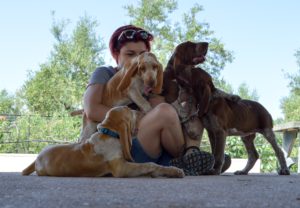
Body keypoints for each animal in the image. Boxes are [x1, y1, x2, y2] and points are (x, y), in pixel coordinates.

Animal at [21, 106, 184, 178]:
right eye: (130, 111)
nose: (142, 112)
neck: (110, 133)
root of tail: (37, 158)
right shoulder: (121, 168)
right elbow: (149, 164)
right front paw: (174, 171)